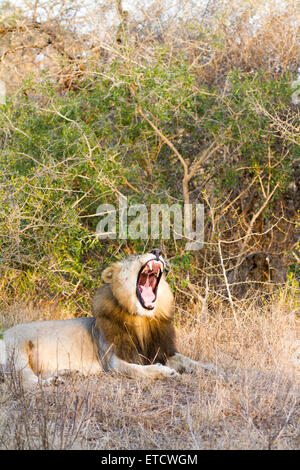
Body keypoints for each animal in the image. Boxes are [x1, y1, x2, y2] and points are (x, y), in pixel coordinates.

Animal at [0, 250, 213, 386]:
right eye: (135, 256)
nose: (157, 251)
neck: (142, 319)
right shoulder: (112, 361)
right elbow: (139, 370)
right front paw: (165, 371)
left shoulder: (159, 350)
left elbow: (185, 359)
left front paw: (208, 367)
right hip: (17, 356)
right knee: (27, 383)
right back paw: (55, 382)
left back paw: (69, 373)